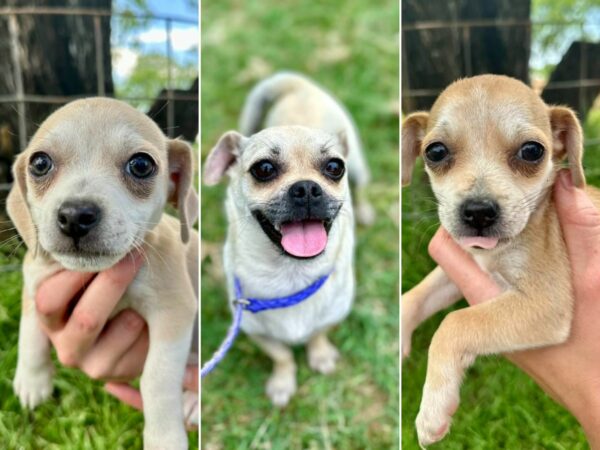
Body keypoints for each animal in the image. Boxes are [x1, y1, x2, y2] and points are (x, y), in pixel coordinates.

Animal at [7, 98, 199, 450]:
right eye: (40, 163)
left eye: (141, 165)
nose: (75, 215)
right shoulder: (35, 281)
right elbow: (30, 329)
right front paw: (31, 378)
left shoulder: (174, 311)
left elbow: (157, 377)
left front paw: (164, 436)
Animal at [202, 72, 366, 406]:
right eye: (264, 169)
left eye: (334, 167)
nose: (306, 188)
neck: (290, 273)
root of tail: (298, 84)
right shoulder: (255, 330)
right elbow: (282, 356)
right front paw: (282, 383)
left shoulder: (333, 315)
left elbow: (318, 334)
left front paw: (320, 356)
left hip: (358, 166)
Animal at [400, 74, 588, 446]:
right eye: (435, 151)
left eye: (532, 151)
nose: (478, 211)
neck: (492, 254)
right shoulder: (457, 268)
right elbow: (415, 297)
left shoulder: (546, 302)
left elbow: (455, 322)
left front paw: (431, 411)